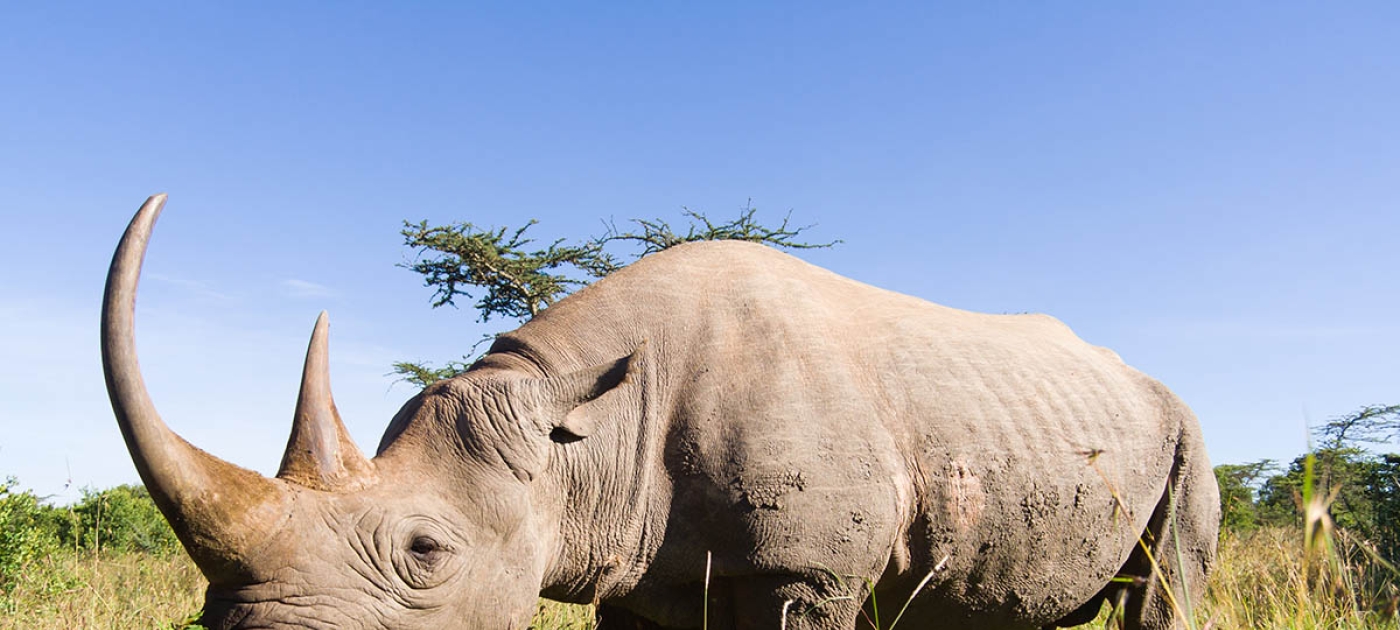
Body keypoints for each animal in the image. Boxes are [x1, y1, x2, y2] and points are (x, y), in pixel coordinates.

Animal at [103, 194, 1218, 630]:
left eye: (426, 552)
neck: (577, 436)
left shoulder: (805, 572)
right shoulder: (635, 572)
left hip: (1186, 433)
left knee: (1163, 590)